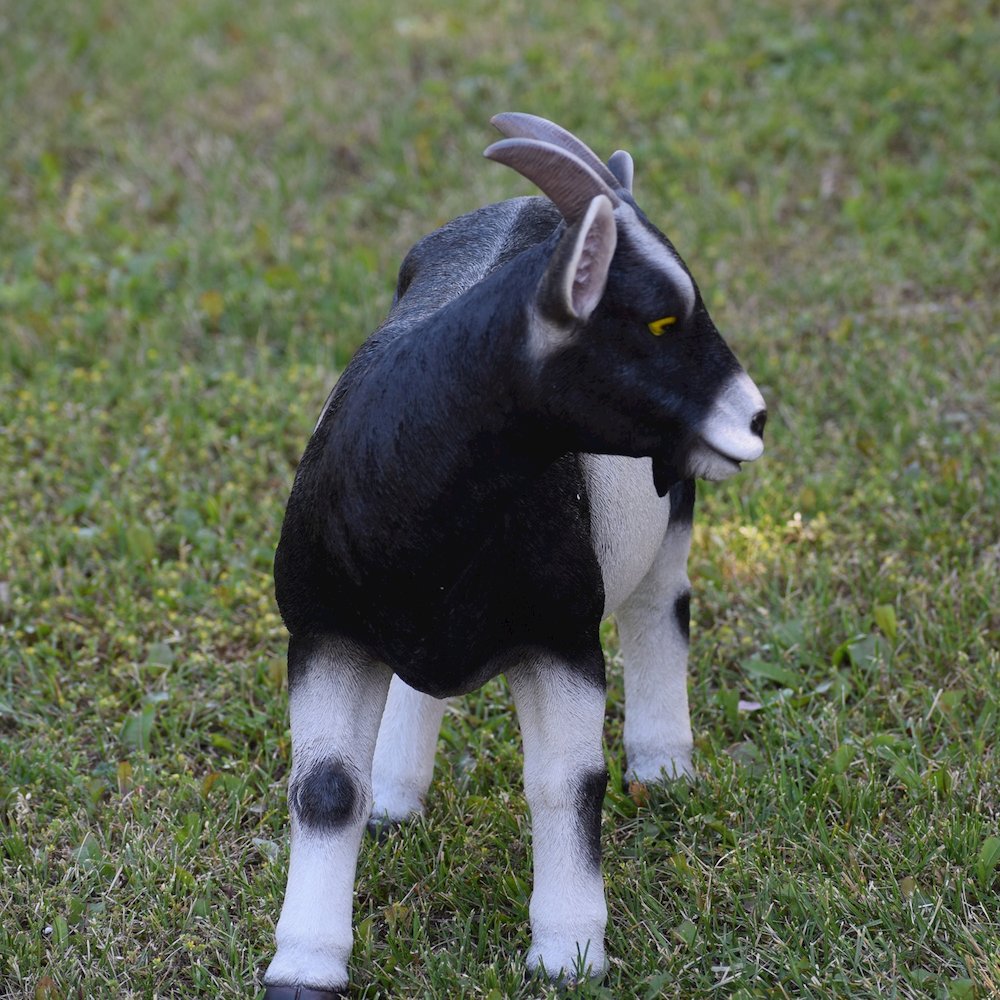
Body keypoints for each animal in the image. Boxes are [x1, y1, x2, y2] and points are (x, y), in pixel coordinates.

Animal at [262, 113, 766, 998]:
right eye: (659, 320)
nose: (756, 415)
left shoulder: (559, 642)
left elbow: (567, 782)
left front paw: (569, 952)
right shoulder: (324, 631)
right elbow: (324, 789)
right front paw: (304, 965)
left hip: (671, 506)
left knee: (659, 607)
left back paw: (663, 765)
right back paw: (395, 795)